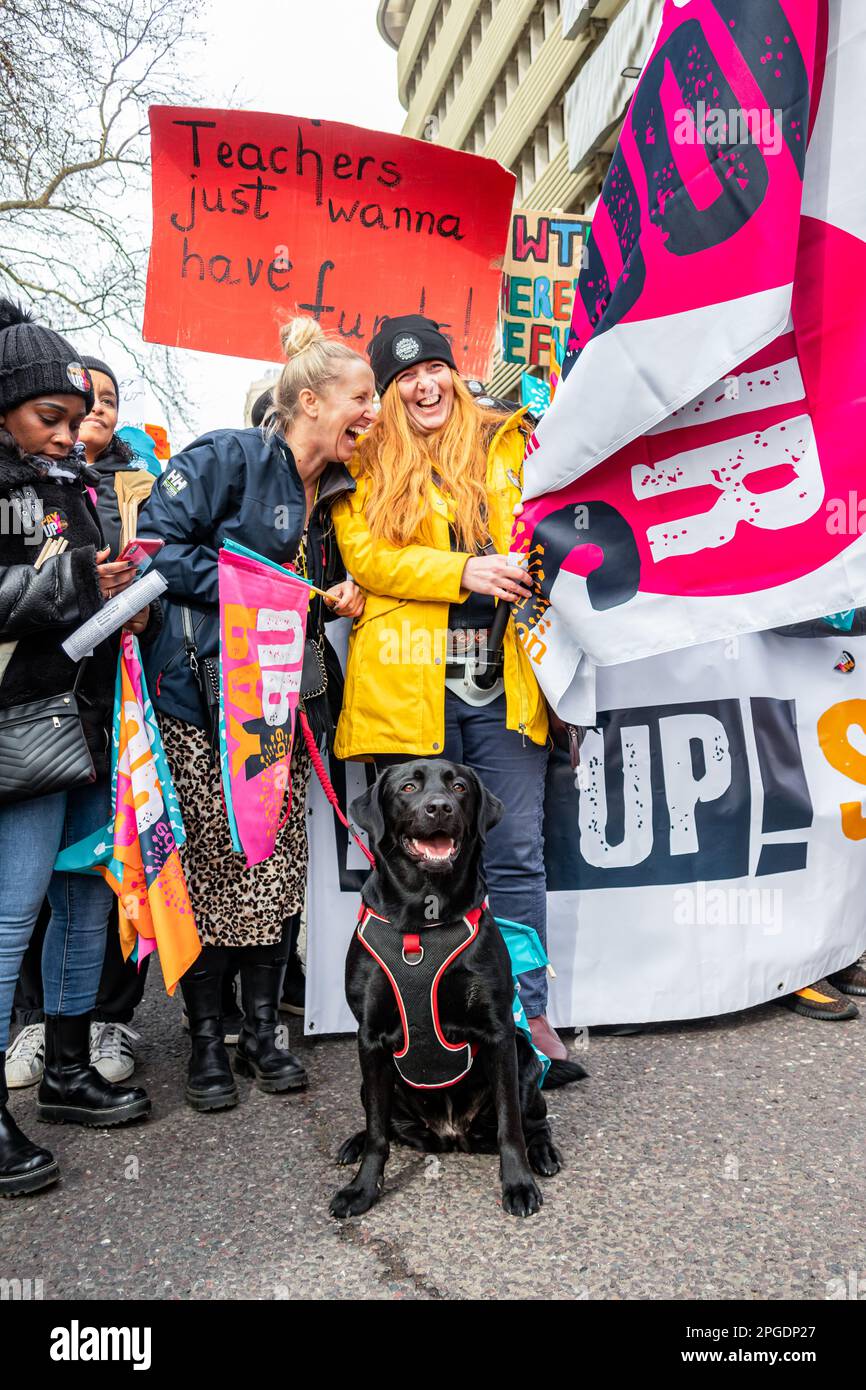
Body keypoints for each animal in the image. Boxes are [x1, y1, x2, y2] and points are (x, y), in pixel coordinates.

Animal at [332, 756, 583, 1223]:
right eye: (408, 787)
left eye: (460, 787)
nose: (440, 808)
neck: (424, 917)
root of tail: (450, 1135)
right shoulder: (369, 1037)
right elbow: (377, 1134)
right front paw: (362, 1188)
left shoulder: (498, 1032)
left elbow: (510, 1127)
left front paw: (519, 1184)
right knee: (382, 1122)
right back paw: (354, 1142)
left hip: (525, 1054)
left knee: (535, 1122)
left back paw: (543, 1153)